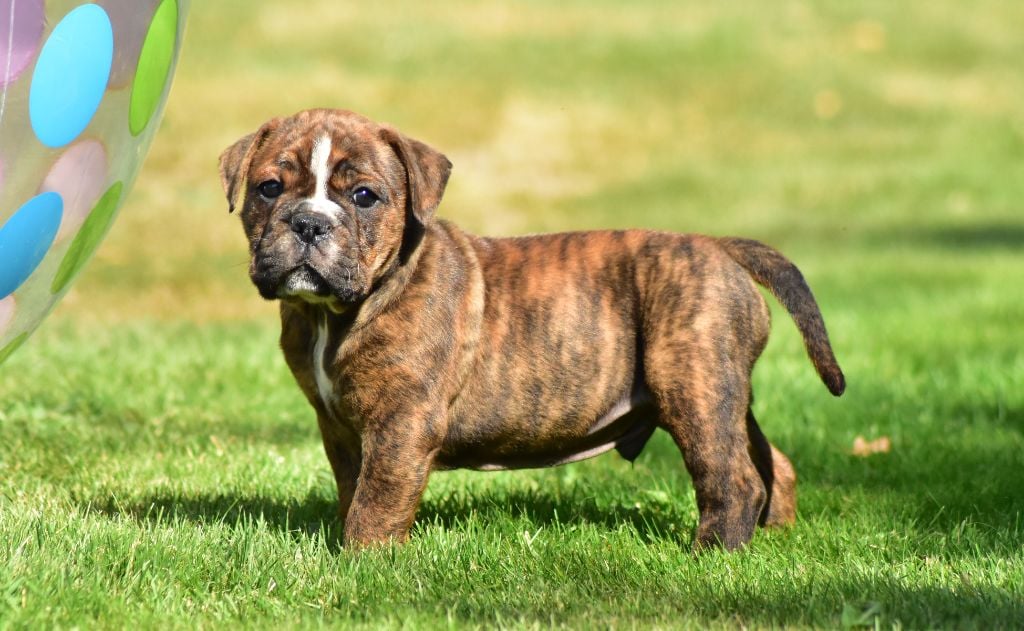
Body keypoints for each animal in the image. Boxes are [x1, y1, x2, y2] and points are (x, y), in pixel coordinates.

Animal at [220, 107, 843, 549]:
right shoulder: (339, 424)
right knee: (768, 459)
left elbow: (380, 495)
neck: (336, 313)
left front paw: (363, 560)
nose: (308, 222)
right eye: (269, 188)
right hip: (724, 392)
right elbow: (354, 486)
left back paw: (714, 552)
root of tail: (720, 248)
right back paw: (773, 535)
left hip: (692, 385)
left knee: (731, 476)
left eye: (364, 197)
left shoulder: (402, 420)